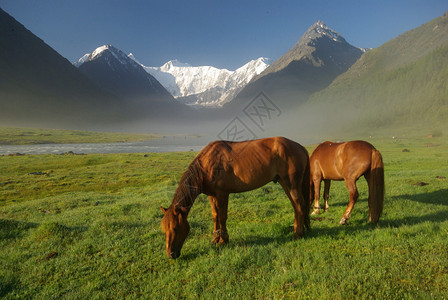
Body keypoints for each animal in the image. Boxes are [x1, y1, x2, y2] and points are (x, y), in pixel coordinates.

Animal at [159, 137, 310, 258]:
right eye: (164, 229)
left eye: (176, 228)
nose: (170, 254)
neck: (207, 164)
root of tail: (301, 147)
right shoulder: (212, 195)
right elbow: (215, 216)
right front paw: (215, 239)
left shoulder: (222, 194)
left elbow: (222, 217)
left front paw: (223, 240)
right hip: (284, 183)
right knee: (296, 206)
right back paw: (299, 229)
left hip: (291, 184)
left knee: (299, 205)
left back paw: (297, 234)